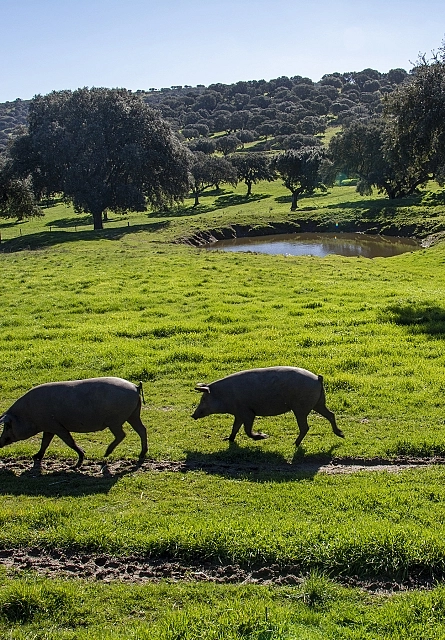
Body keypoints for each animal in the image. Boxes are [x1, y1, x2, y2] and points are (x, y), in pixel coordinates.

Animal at [0, 376, 148, 470]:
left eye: (7, 425)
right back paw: (141, 454)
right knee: (142, 430)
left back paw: (106, 454)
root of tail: (135, 387)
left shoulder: (57, 427)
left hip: (116, 420)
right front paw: (35, 457)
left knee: (122, 434)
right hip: (133, 414)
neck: (27, 414)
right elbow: (45, 443)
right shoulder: (49, 427)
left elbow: (69, 442)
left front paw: (77, 463)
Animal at [190, 368, 340, 448]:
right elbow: (235, 428)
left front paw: (264, 436)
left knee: (306, 427)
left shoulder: (248, 412)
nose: (192, 415)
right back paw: (341, 434)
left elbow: (247, 430)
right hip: (318, 403)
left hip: (301, 408)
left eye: (203, 399)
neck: (224, 395)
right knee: (331, 414)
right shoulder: (239, 413)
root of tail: (318, 378)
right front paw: (227, 440)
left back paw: (293, 444)